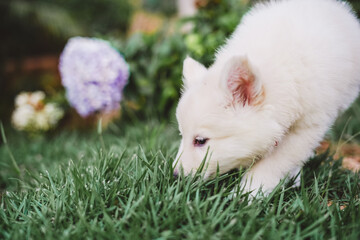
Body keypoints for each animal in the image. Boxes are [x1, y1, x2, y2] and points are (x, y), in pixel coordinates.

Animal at [174, 0, 360, 194]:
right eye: (182, 134)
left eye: (200, 141)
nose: (175, 176)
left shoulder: (307, 127)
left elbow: (273, 164)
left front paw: (246, 194)